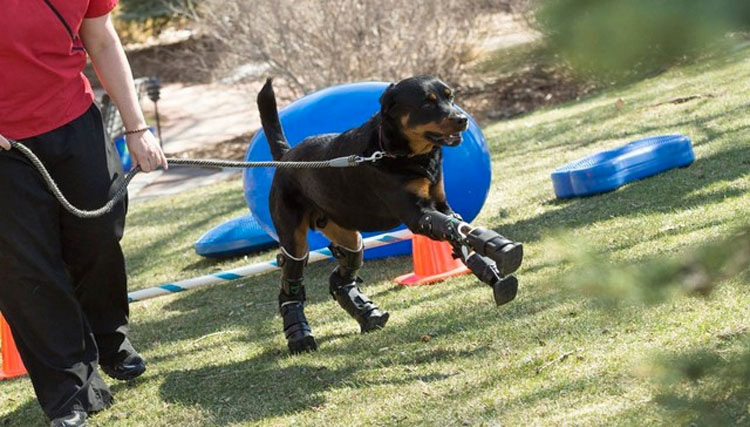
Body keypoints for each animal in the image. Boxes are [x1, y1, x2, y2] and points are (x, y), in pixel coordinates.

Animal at [258, 76, 524, 354]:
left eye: (450, 97)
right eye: (427, 103)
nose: (462, 119)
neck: (399, 152)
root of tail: (286, 157)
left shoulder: (441, 204)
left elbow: (457, 230)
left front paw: (491, 268)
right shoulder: (417, 214)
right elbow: (450, 227)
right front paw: (499, 247)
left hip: (344, 230)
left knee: (345, 268)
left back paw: (368, 315)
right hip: (293, 235)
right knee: (292, 277)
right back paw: (300, 336)